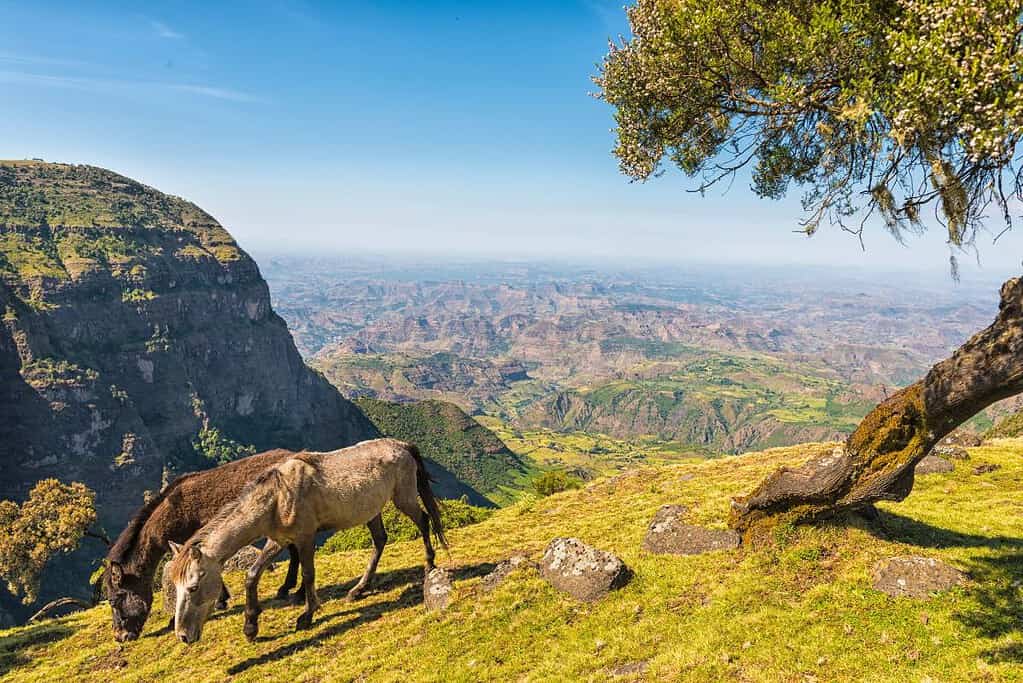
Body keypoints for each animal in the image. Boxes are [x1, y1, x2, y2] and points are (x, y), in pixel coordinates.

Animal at [169, 439, 446, 642]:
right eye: (176, 587)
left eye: (193, 587)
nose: (183, 636)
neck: (277, 497)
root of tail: (401, 445)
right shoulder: (279, 539)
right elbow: (252, 575)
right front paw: (251, 626)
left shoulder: (304, 537)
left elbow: (308, 574)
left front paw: (307, 614)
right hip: (372, 511)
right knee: (380, 540)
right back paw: (358, 589)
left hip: (404, 497)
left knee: (423, 521)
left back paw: (429, 565)